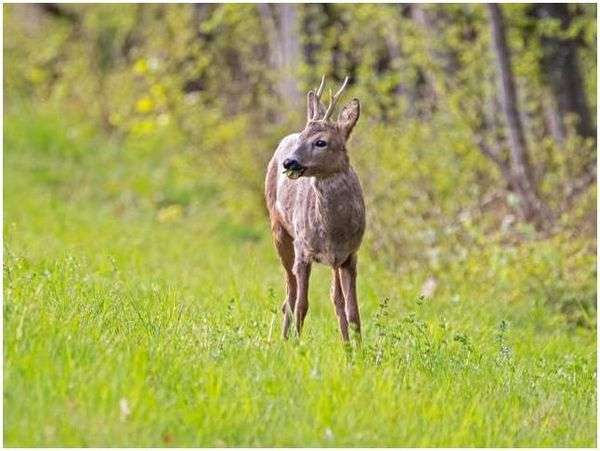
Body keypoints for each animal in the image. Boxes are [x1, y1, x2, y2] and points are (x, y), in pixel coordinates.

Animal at [264, 76, 366, 340]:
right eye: (303, 137)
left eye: (321, 142)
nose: (289, 162)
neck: (333, 231)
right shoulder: (303, 249)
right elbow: (302, 304)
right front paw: (297, 343)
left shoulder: (349, 256)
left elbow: (352, 311)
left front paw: (357, 347)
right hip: (279, 230)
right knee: (289, 294)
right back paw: (282, 338)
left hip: (334, 261)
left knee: (335, 299)